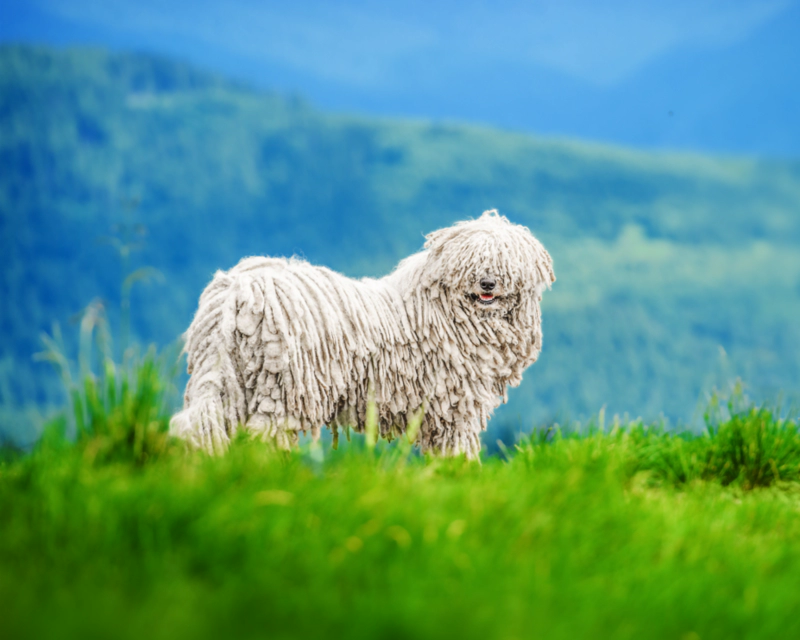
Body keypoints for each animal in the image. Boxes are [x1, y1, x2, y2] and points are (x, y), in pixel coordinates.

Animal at [170, 211, 556, 460]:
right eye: (470, 263)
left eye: (505, 262)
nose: (487, 283)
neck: (443, 312)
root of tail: (236, 291)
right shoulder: (454, 406)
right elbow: (456, 447)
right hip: (280, 386)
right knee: (263, 434)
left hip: (234, 380)